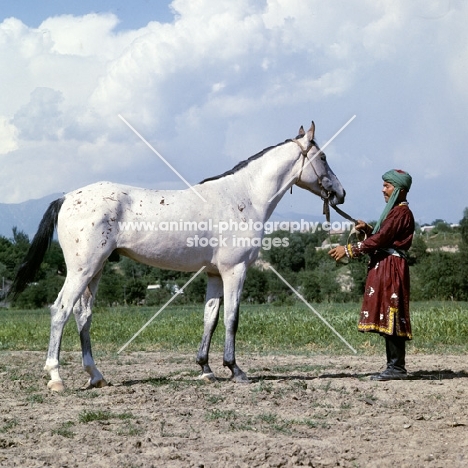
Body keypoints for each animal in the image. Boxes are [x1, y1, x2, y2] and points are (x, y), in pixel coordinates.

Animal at [11, 121, 346, 392]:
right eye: (323, 157)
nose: (341, 194)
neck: (243, 198)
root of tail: (67, 197)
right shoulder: (234, 270)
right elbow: (232, 318)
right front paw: (235, 370)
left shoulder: (214, 273)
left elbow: (210, 318)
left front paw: (206, 369)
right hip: (82, 270)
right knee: (61, 310)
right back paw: (56, 377)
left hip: (96, 270)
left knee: (83, 314)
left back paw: (96, 376)